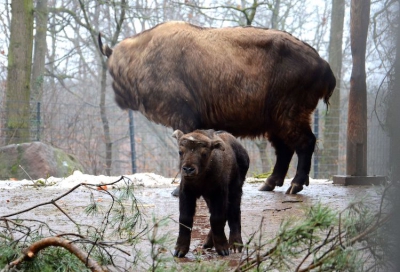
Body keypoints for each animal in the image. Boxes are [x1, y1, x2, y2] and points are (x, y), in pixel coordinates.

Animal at [98, 22, 336, 194]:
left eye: (114, 70)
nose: (118, 98)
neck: (145, 54)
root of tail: (322, 63)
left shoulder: (183, 118)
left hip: (289, 116)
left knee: (305, 143)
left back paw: (295, 185)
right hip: (275, 121)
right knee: (284, 150)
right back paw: (269, 183)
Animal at [173, 130, 248, 258]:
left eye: (204, 153)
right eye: (180, 152)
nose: (188, 169)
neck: (201, 178)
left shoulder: (219, 193)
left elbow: (217, 218)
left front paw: (222, 248)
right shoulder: (186, 192)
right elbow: (185, 219)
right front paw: (180, 249)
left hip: (235, 188)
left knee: (233, 211)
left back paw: (235, 244)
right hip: (209, 197)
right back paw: (208, 242)